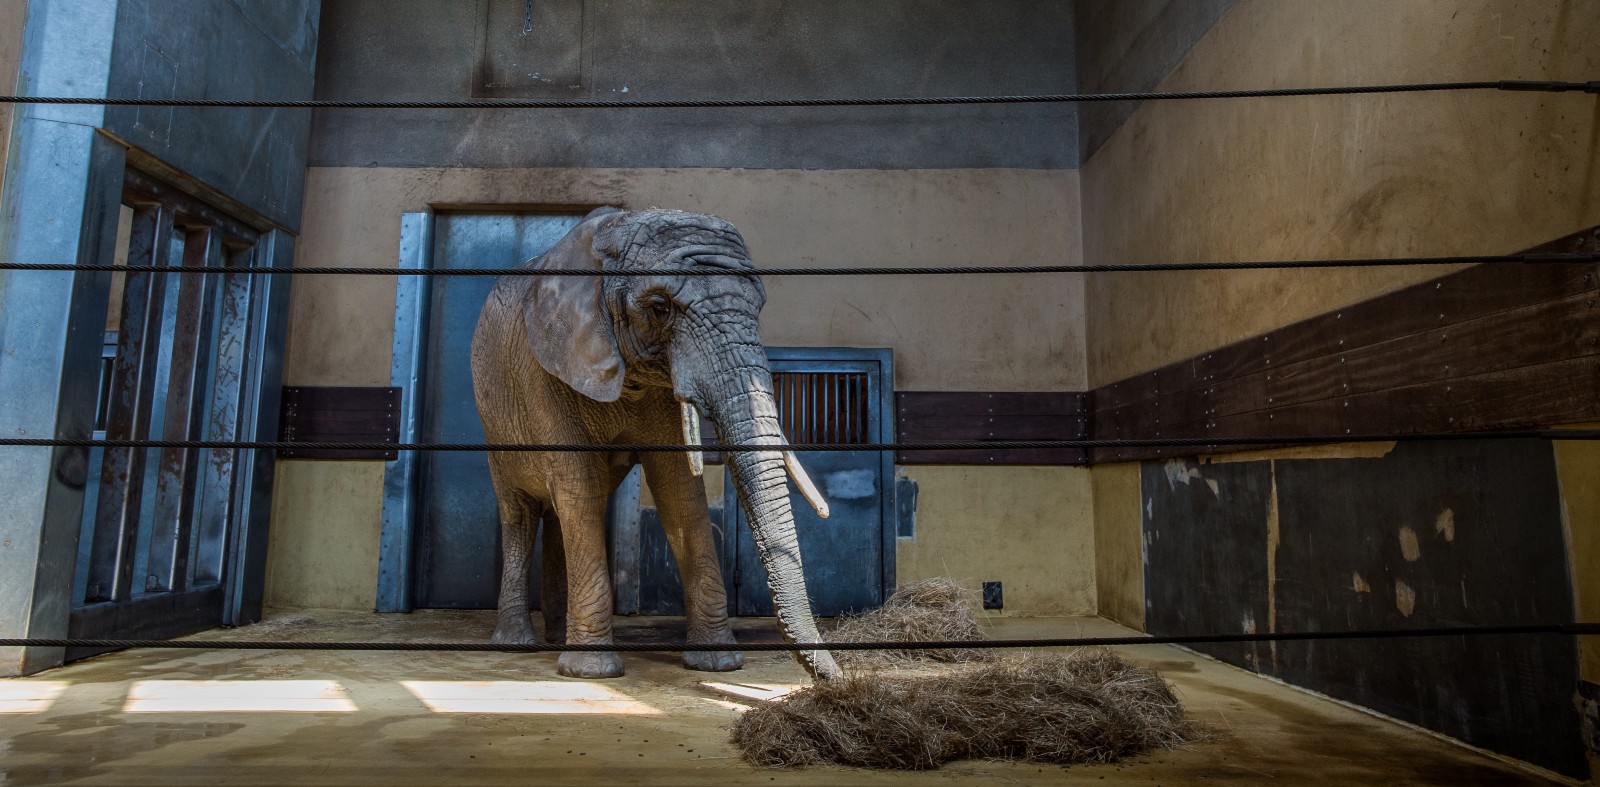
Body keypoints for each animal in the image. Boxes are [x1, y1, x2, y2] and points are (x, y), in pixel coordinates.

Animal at [467, 206, 844, 678]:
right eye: (660, 308)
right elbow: (578, 481)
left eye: (758, 307)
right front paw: (593, 671)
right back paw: (517, 644)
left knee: (558, 513)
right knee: (521, 513)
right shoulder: (542, 370)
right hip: (495, 424)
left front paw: (718, 662)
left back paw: (555, 637)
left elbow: (678, 488)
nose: (840, 677)